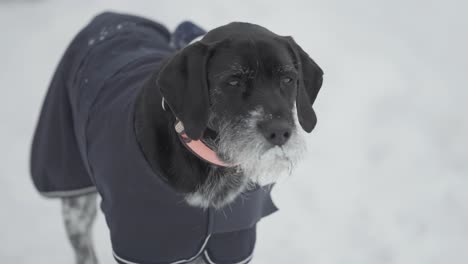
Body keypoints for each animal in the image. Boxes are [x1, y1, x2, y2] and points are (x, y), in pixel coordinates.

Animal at [28, 11, 322, 264]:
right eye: (233, 80)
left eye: (288, 78)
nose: (279, 131)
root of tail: (110, 15)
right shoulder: (145, 246)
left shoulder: (232, 244)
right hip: (72, 188)